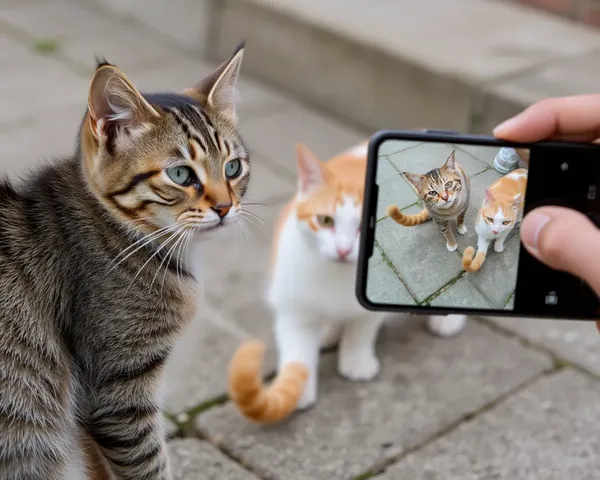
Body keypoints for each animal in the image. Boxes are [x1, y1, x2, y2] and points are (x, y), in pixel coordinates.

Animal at [227, 142, 466, 424]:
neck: (338, 277)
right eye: (325, 220)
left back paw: (447, 320)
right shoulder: (294, 303)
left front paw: (355, 362)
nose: (343, 250)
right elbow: (297, 347)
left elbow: (360, 331)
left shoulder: (369, 306)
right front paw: (297, 389)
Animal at [366, 139, 528, 312]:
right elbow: (445, 230)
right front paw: (451, 242)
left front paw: (461, 227)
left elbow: (461, 218)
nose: (444, 197)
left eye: (449, 184)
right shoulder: (438, 218)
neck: (450, 211)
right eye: (432, 193)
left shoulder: (464, 206)